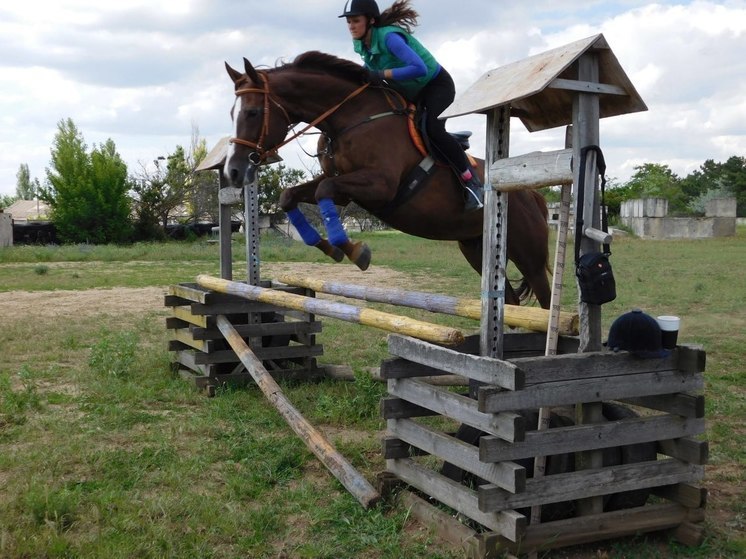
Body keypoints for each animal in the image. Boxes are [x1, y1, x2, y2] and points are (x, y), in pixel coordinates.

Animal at [224, 50, 548, 308]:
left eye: (252, 112)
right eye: (231, 113)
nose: (234, 171)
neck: (349, 118)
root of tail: (531, 195)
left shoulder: (380, 185)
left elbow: (323, 191)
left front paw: (355, 251)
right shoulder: (342, 187)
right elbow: (290, 196)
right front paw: (330, 248)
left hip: (528, 254)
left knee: (544, 301)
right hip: (475, 248)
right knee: (510, 302)